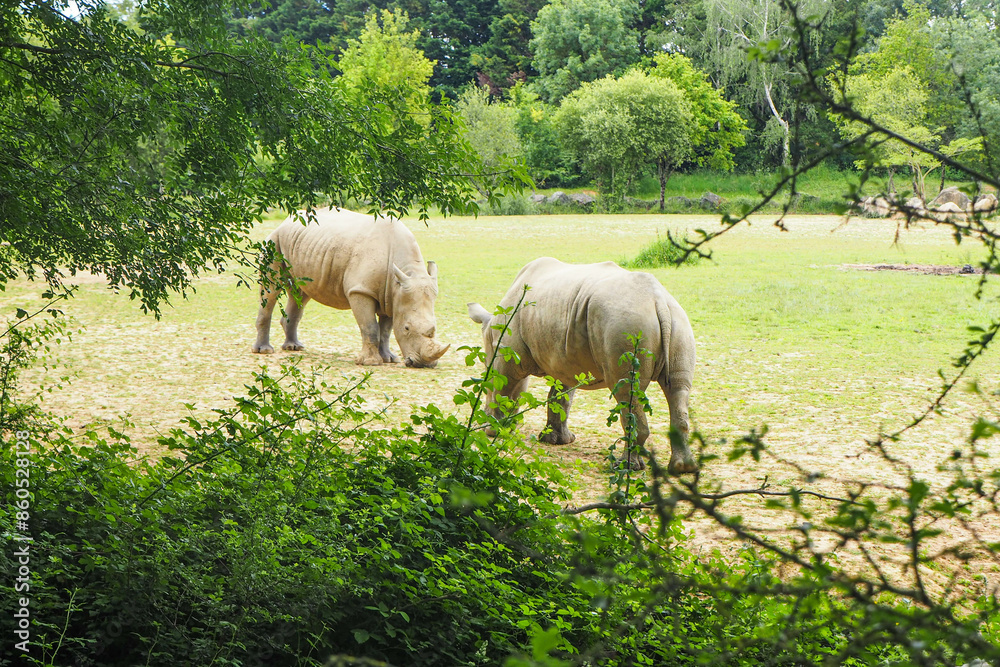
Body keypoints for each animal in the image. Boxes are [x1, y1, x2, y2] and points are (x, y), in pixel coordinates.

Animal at [253, 208, 449, 368]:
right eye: (407, 328)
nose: (424, 364)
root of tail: (284, 222)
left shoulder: (393, 296)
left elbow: (386, 330)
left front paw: (389, 359)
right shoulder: (360, 290)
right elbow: (370, 327)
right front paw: (370, 363)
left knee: (301, 294)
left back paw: (294, 347)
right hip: (274, 242)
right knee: (271, 289)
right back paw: (265, 351)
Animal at [467, 257, 697, 473]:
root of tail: (658, 301)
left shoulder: (507, 352)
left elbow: (502, 387)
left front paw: (492, 431)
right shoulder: (564, 359)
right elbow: (561, 396)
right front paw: (556, 440)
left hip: (625, 325)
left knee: (626, 391)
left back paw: (624, 467)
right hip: (679, 322)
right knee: (677, 388)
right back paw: (682, 468)